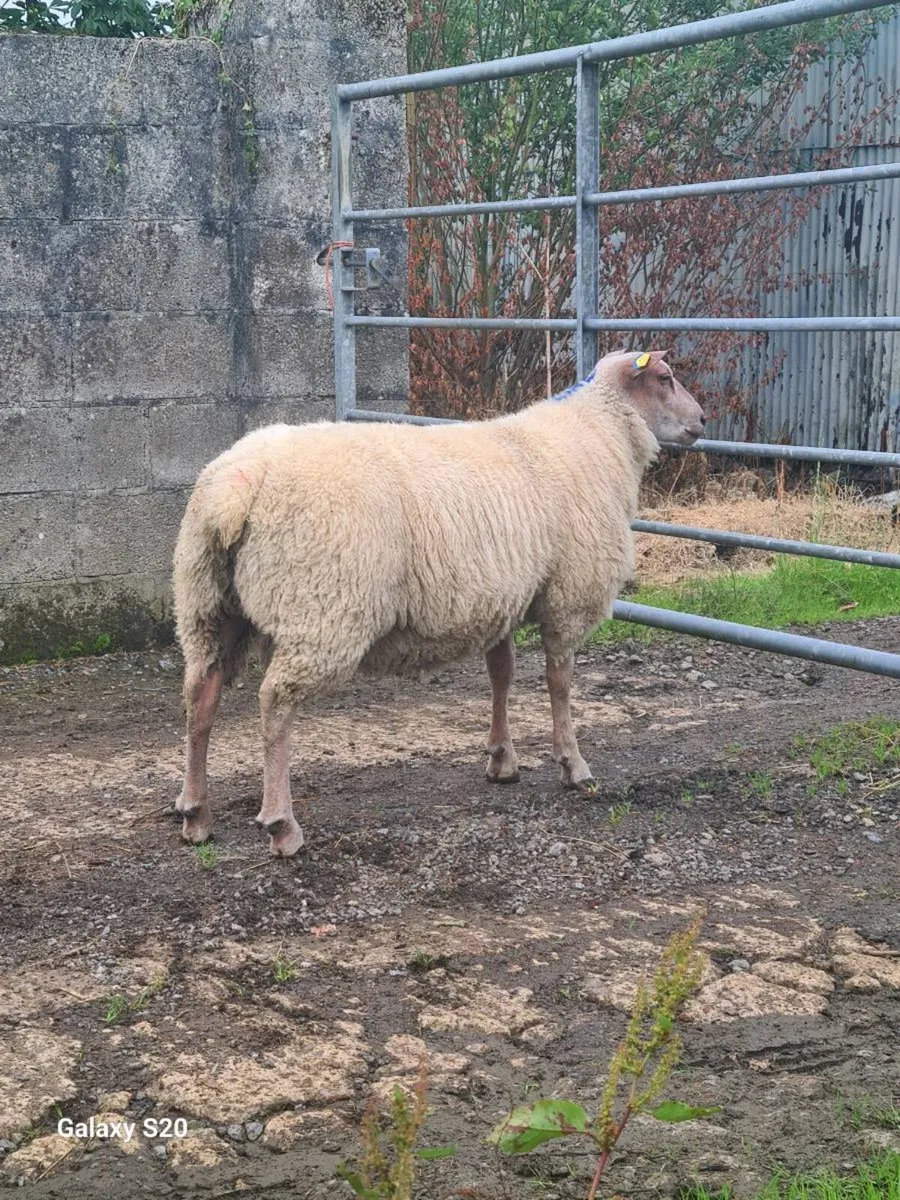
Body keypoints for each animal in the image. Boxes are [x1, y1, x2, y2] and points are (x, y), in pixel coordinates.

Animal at [172, 348, 705, 857]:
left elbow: (501, 675)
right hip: (322, 609)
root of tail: (236, 487)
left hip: (209, 603)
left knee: (201, 694)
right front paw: (573, 765)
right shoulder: (568, 596)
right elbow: (560, 683)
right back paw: (281, 824)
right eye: (665, 378)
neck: (601, 433)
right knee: (275, 703)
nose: (702, 420)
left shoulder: (501, 597)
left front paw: (502, 759)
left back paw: (196, 814)